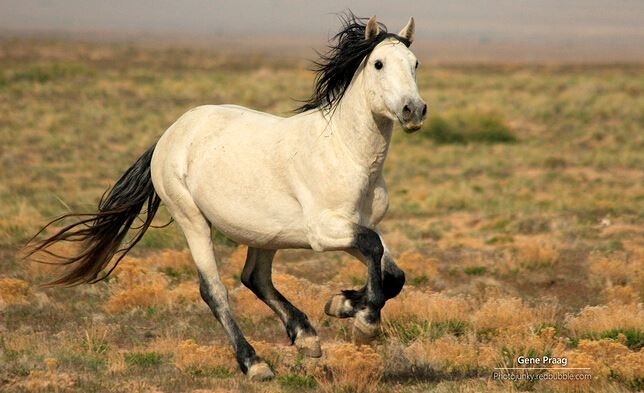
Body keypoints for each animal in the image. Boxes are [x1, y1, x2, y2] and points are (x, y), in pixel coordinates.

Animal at [26, 13, 428, 378]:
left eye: (415, 64)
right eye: (378, 63)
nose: (414, 110)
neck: (344, 151)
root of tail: (172, 133)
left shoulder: (355, 226)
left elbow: (393, 274)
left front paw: (341, 304)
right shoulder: (324, 232)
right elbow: (374, 249)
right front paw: (364, 323)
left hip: (267, 234)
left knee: (255, 278)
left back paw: (306, 338)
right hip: (193, 221)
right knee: (214, 290)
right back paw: (255, 364)